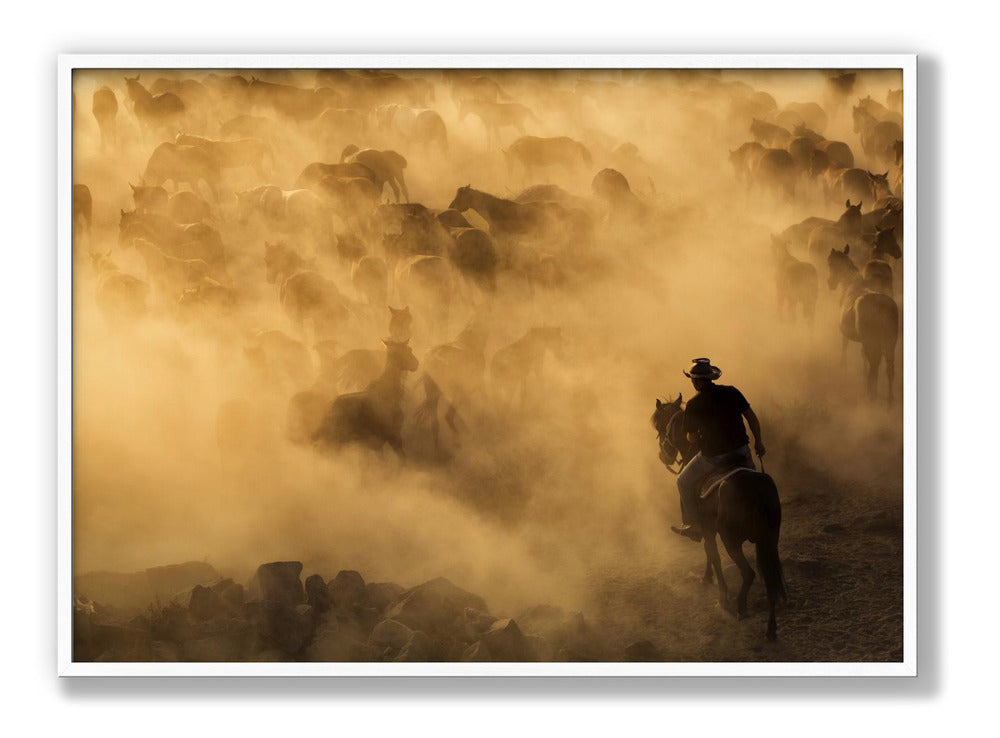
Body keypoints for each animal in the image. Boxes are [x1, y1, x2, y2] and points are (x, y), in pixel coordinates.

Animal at [652, 394, 784, 640]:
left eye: (660, 426)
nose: (663, 455)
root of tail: (756, 488)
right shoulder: (709, 529)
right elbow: (708, 552)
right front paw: (707, 578)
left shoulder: (707, 529)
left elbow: (713, 556)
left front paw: (721, 596)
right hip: (768, 541)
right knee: (769, 578)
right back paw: (770, 629)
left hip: (732, 540)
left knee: (749, 573)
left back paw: (741, 606)